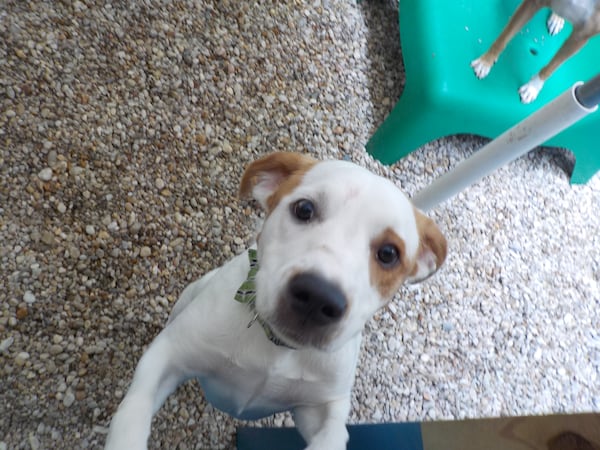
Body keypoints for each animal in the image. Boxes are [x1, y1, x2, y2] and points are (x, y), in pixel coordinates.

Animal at [105, 152, 448, 450]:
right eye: (304, 209)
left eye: (389, 254)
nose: (317, 297)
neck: (276, 347)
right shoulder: (170, 355)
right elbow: (133, 411)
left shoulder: (320, 406)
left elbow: (333, 437)